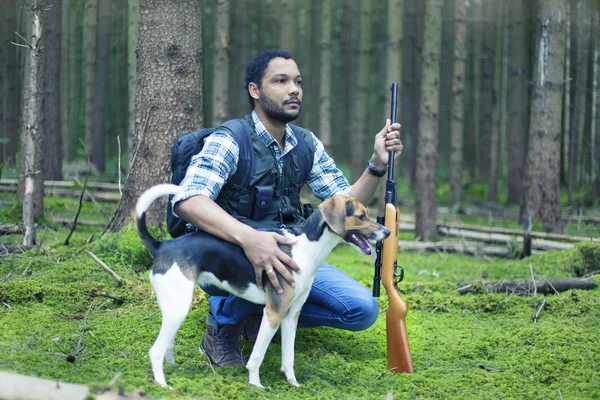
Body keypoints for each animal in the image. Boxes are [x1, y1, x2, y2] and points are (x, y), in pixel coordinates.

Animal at [135, 184, 390, 388]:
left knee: (167, 345)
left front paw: (293, 383)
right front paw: (255, 385)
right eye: (361, 216)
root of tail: (162, 246)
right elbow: (257, 356)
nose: (387, 232)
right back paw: (163, 385)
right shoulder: (273, 313)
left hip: (177, 308)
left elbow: (289, 357)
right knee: (155, 351)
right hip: (178, 307)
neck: (305, 248)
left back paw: (174, 369)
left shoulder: (291, 315)